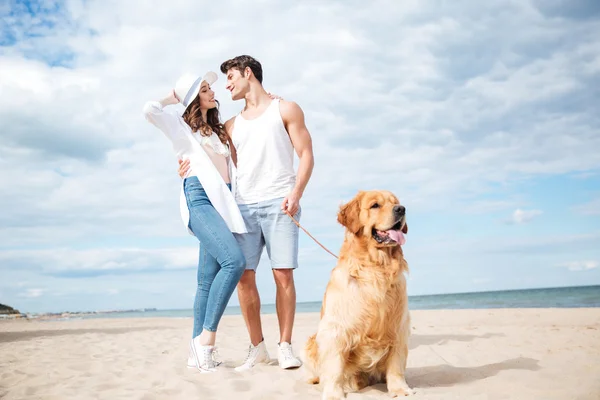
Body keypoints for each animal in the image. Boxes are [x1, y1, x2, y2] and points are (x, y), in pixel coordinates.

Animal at [304, 190, 412, 396]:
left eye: (396, 202)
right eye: (375, 205)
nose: (401, 209)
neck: (376, 268)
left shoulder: (398, 326)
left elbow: (396, 364)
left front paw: (400, 389)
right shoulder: (335, 328)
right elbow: (334, 366)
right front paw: (333, 393)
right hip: (311, 342)